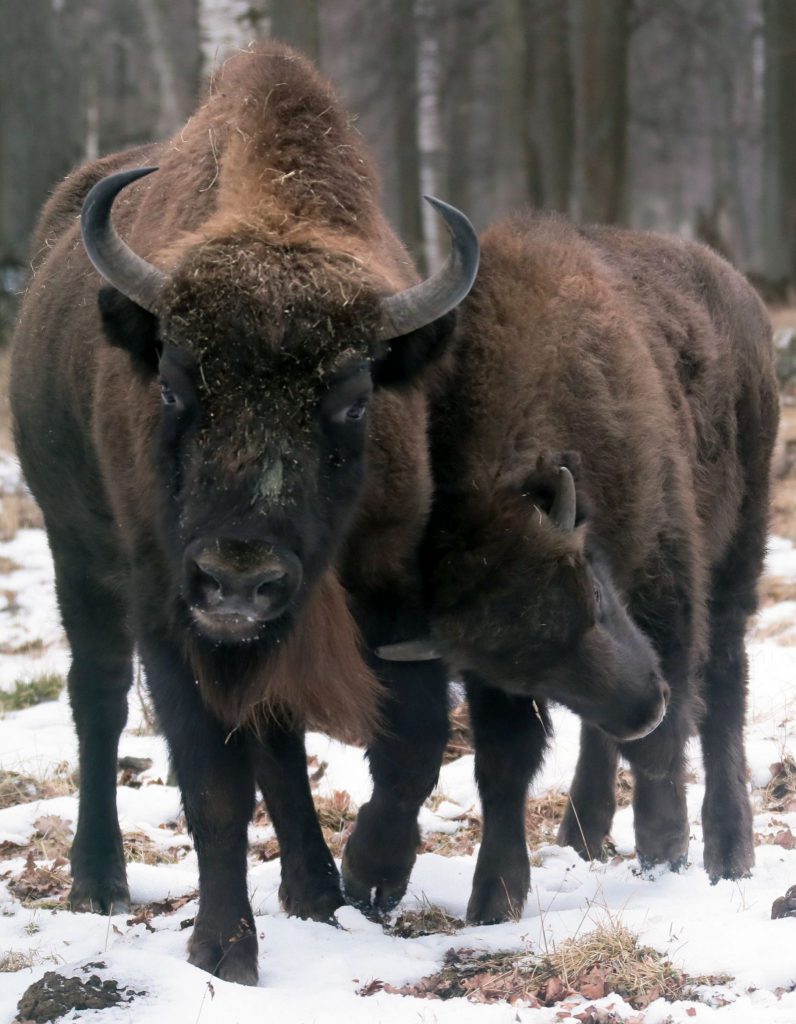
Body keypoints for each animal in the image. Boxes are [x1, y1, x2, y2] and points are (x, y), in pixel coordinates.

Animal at [10, 44, 477, 987]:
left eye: (354, 395)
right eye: (173, 379)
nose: (237, 578)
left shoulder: (389, 581)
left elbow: (411, 740)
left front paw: (369, 877)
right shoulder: (170, 613)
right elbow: (213, 783)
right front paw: (224, 950)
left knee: (279, 739)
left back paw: (315, 889)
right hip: (79, 555)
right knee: (98, 699)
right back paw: (99, 882)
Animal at [348, 209, 774, 929]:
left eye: (595, 598)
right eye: (525, 672)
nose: (644, 708)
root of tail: (740, 290)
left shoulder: (665, 579)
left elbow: (671, 729)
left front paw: (666, 847)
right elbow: (506, 760)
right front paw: (495, 897)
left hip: (739, 552)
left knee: (724, 687)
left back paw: (729, 849)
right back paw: (584, 830)